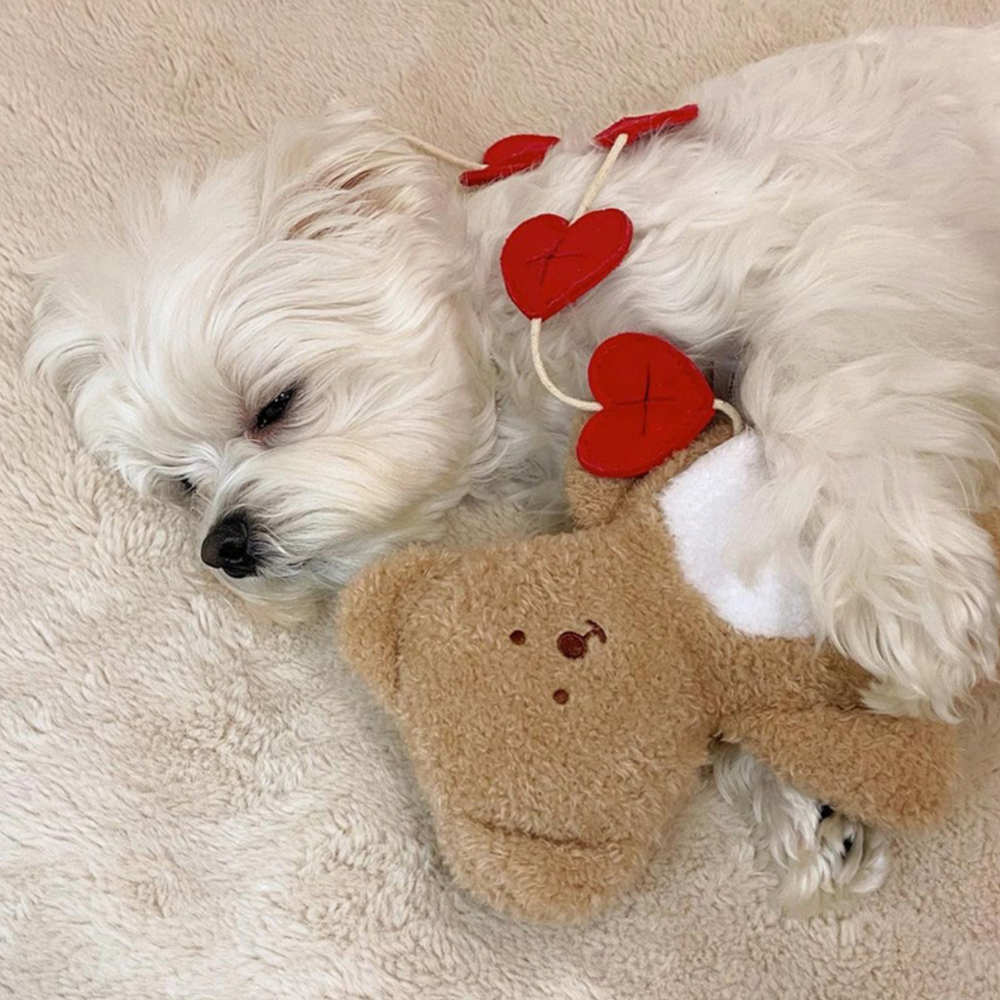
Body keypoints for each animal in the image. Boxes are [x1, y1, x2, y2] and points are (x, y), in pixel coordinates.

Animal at [25, 25, 1000, 916]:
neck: (519, 343)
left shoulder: (823, 248)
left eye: (275, 406)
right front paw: (803, 795)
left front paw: (904, 597)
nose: (223, 547)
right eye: (183, 485)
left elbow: (821, 392)